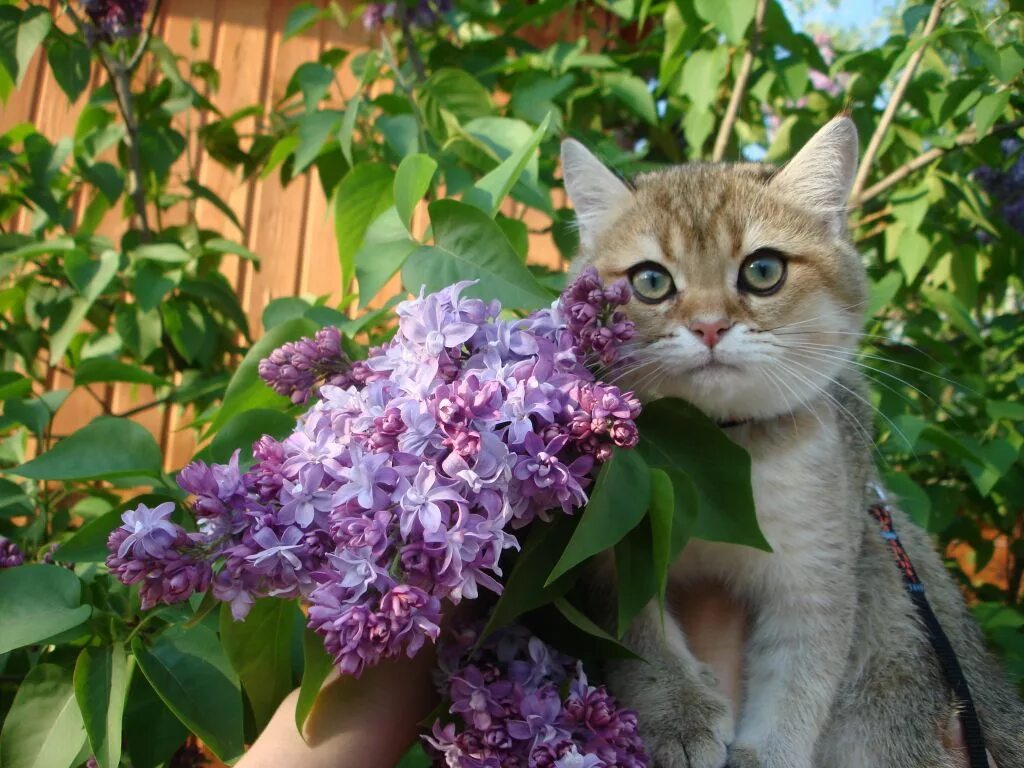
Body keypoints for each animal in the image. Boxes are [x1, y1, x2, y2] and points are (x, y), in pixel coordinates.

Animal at [561, 115, 1024, 768]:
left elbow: (800, 681)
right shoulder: (620, 554)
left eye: (763, 270)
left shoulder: (819, 573)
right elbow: (641, 635)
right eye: (650, 281)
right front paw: (678, 712)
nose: (709, 326)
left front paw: (766, 752)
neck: (721, 459)